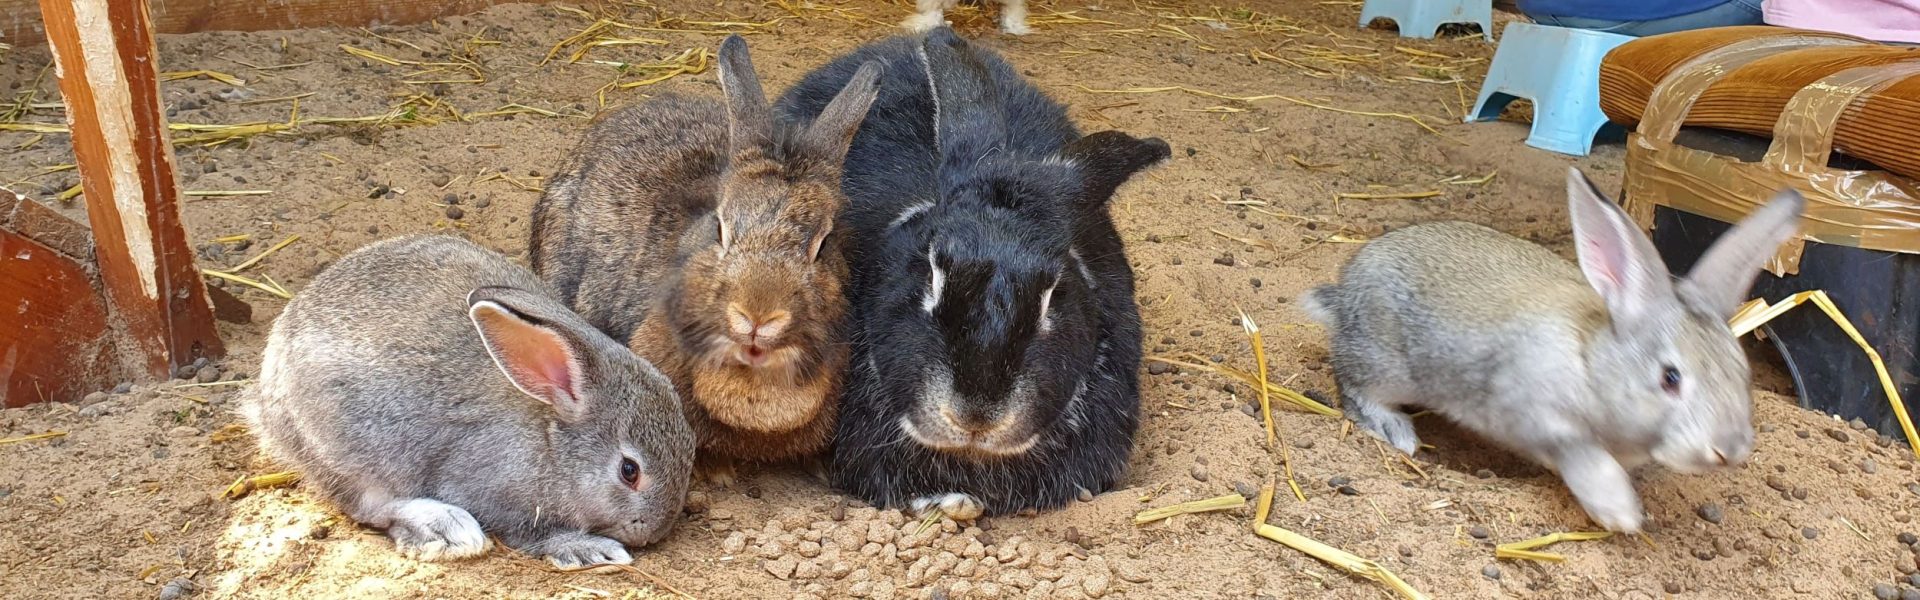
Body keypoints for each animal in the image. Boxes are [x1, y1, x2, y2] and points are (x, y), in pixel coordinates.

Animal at [238, 234, 691, 565]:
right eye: (629, 471)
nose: (653, 531)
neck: (552, 443)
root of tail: (268, 399)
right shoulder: (493, 494)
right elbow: (532, 534)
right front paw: (591, 549)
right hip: (346, 451)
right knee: (369, 506)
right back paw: (446, 528)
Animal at [1297, 167, 1804, 530]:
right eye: (1670, 378)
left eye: (1743, 374)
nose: (1729, 450)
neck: (1594, 364)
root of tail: (1345, 294)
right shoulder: (1542, 418)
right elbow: (1583, 458)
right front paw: (1620, 513)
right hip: (1385, 363)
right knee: (1353, 385)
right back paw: (1397, 432)